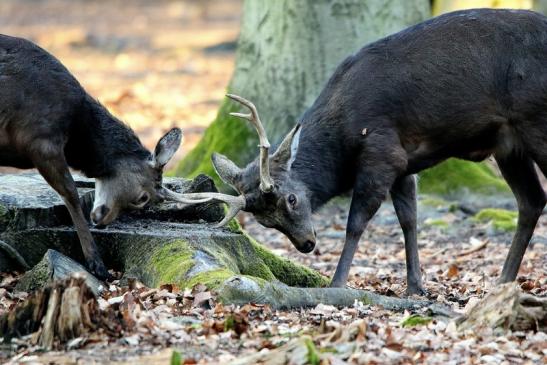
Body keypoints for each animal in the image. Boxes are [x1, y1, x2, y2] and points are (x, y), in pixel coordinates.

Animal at [174, 9, 547, 294]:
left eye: (291, 199)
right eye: (264, 221)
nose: (307, 244)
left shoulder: (381, 150)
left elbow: (356, 222)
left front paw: (337, 283)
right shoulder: (404, 163)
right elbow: (409, 219)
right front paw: (415, 287)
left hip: (535, 120)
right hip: (509, 144)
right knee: (532, 200)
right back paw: (503, 280)